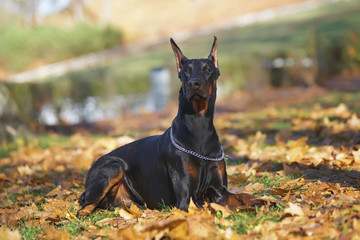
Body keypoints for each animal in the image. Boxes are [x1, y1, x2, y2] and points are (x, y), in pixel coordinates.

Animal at [77, 36, 258, 218]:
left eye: (208, 69)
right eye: (186, 71)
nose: (193, 83)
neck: (200, 128)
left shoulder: (220, 190)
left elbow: (242, 196)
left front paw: (259, 202)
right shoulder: (186, 199)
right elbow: (205, 207)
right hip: (113, 168)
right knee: (84, 207)